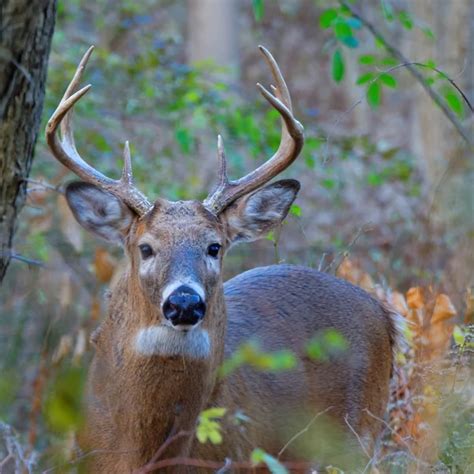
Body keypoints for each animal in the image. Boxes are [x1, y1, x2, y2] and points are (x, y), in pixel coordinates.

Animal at [46, 46, 398, 472]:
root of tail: (383, 313)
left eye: (214, 247)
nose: (184, 302)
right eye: (145, 247)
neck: (141, 452)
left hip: (358, 434)